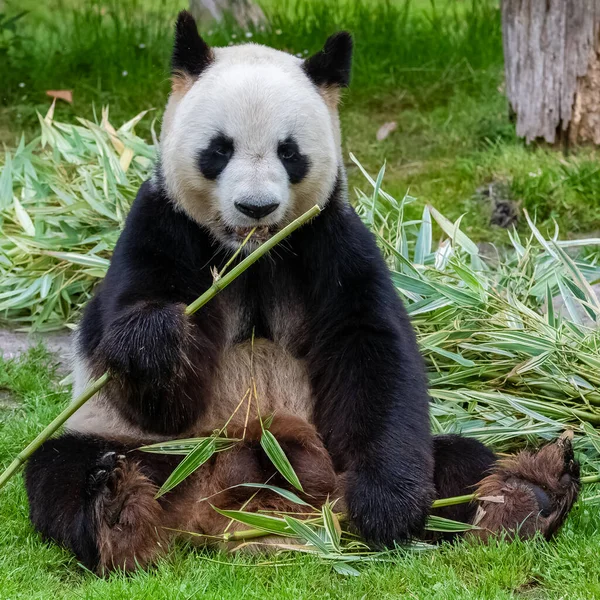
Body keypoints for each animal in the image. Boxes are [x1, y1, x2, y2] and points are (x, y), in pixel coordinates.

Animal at [24, 10, 580, 572]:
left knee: (463, 464)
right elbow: (148, 382)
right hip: (154, 450)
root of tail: (234, 509)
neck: (250, 255)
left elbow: (372, 352)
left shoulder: (329, 241)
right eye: (219, 149)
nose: (256, 207)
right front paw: (156, 341)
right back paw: (116, 512)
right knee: (64, 470)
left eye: (288, 152)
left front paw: (388, 508)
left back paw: (530, 496)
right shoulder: (163, 226)